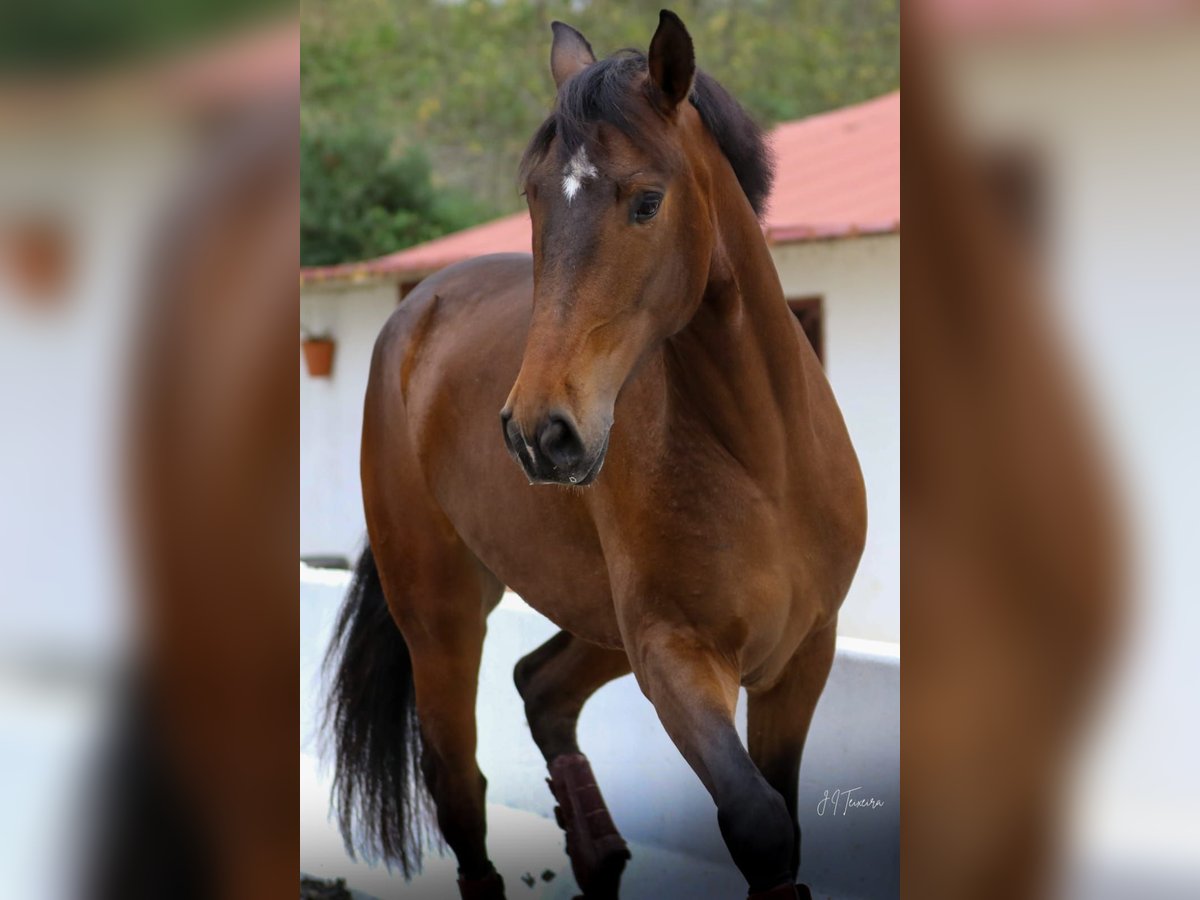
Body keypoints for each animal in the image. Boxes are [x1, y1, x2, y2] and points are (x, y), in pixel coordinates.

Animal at [328, 12, 868, 900]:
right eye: (533, 198)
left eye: (647, 201)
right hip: (444, 620)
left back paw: (599, 852)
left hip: (598, 630)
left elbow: (782, 827)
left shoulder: (801, 661)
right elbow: (759, 824)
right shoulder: (676, 658)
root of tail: (415, 313)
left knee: (540, 689)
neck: (762, 461)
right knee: (460, 790)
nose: (539, 431)